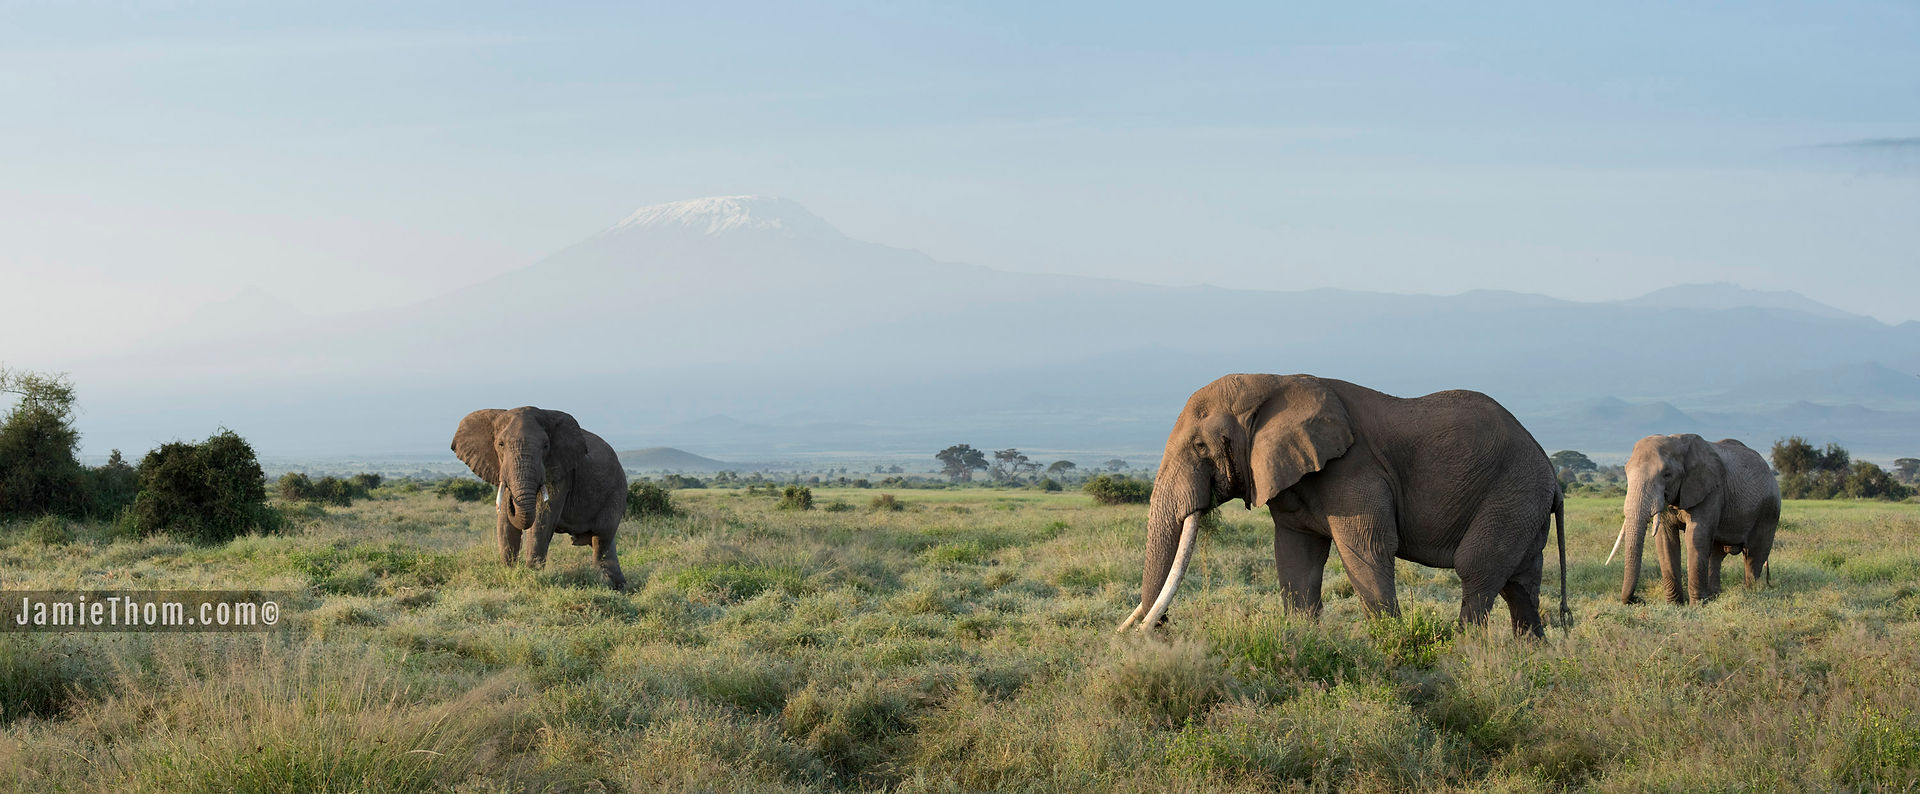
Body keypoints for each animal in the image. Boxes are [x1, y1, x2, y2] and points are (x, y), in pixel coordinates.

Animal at [452, 407, 628, 590]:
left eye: (545, 446)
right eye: (500, 444)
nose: (512, 504)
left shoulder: (560, 472)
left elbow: (543, 519)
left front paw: (531, 576)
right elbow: (505, 523)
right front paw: (509, 573)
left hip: (617, 491)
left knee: (602, 537)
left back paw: (603, 582)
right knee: (605, 540)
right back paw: (619, 585)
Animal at [1116, 374, 1568, 637]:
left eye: (1200, 447)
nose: (1161, 629)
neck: (1273, 383)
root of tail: (1550, 468)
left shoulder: (1354, 469)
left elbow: (1366, 551)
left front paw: (1390, 647)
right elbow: (1295, 558)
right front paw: (1303, 644)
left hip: (1512, 493)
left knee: (1477, 571)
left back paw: (1463, 651)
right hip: (1523, 505)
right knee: (1520, 585)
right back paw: (1530, 659)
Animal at [1606, 434, 1778, 605]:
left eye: (1667, 474)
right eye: (1626, 472)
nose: (1638, 599)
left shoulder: (1711, 491)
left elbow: (1696, 536)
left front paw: (1696, 605)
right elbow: (1666, 540)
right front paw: (1674, 604)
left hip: (1768, 510)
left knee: (1754, 556)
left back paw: (1751, 594)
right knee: (1716, 555)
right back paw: (1714, 596)